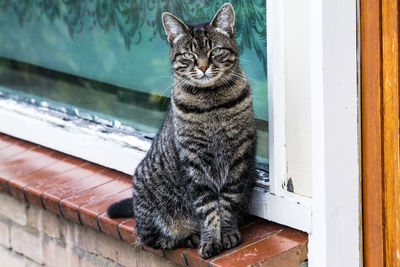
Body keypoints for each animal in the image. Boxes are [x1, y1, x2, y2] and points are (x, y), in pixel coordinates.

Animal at [107, 3, 256, 260]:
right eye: (189, 55)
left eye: (215, 51)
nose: (204, 67)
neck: (211, 105)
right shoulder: (193, 163)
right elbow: (207, 208)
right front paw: (210, 239)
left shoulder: (239, 157)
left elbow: (227, 201)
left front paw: (227, 233)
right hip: (148, 203)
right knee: (149, 238)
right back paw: (188, 236)